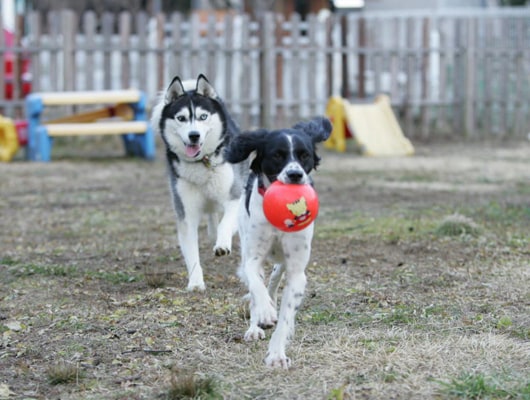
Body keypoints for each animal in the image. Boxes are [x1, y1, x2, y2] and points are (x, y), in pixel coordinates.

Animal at [151, 73, 245, 290]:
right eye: (181, 118)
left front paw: (222, 243)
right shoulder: (186, 214)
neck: (202, 163)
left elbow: (226, 222)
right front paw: (195, 283)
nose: (194, 135)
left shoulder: (234, 197)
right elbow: (191, 252)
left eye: (203, 116)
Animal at [225, 116, 332, 368]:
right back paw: (256, 325)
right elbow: (256, 285)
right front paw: (265, 313)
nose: (295, 175)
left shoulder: (296, 270)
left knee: (274, 279)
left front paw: (276, 354)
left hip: (281, 262)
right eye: (277, 155)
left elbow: (285, 315)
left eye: (304, 155)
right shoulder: (252, 258)